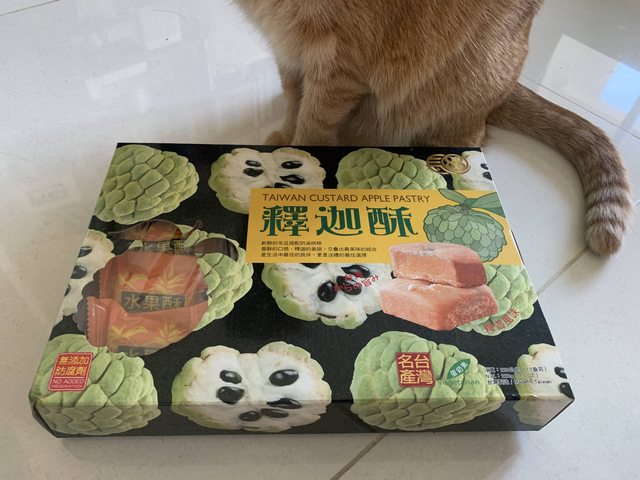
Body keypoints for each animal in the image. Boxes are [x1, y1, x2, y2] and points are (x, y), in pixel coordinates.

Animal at [232, 0, 633, 255]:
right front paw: (282, 141)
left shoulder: (337, 61)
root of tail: (506, 89)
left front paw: (298, 160)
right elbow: (292, 99)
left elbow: (312, 124)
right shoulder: (288, 47)